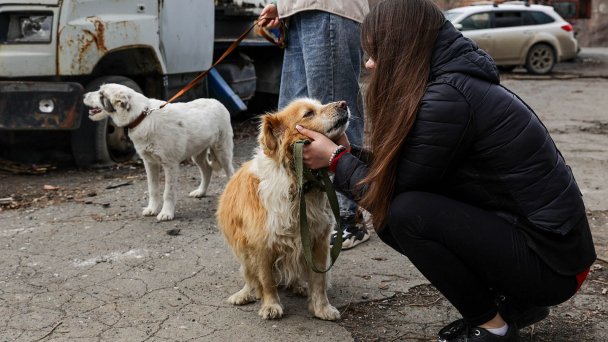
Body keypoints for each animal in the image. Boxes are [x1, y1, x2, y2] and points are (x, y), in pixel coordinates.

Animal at [85, 83, 235, 222]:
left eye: (101, 94)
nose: (84, 95)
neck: (142, 117)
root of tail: (216, 101)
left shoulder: (170, 165)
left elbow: (168, 192)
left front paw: (166, 213)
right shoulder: (149, 163)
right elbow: (153, 189)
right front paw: (152, 209)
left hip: (222, 151)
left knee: (230, 172)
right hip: (197, 154)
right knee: (207, 170)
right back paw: (201, 192)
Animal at [218, 98, 352, 320]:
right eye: (308, 113)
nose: (343, 103)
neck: (298, 181)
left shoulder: (319, 241)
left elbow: (319, 281)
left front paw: (321, 308)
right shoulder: (261, 244)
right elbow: (267, 281)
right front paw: (271, 305)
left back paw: (299, 286)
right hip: (244, 252)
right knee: (251, 278)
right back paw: (245, 294)